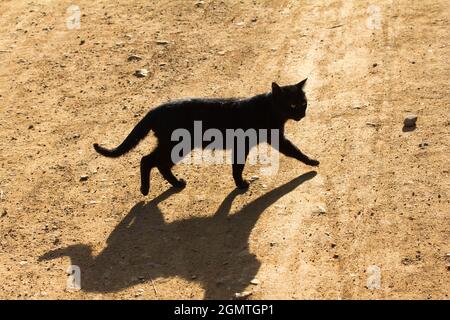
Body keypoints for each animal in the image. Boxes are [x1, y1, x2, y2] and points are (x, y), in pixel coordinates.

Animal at [94, 80, 320, 195]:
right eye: (293, 105)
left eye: (304, 103)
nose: (302, 114)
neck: (268, 109)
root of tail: (155, 109)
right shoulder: (254, 142)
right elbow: (292, 151)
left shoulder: (264, 141)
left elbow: (239, 165)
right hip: (176, 144)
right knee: (148, 160)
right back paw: (146, 189)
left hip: (173, 146)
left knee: (157, 163)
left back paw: (176, 184)